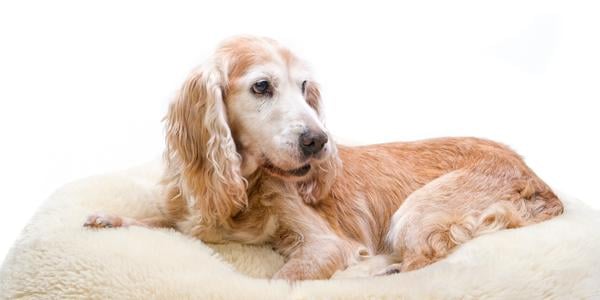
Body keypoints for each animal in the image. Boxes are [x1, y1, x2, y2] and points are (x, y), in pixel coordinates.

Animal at [84, 36, 564, 280]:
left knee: (423, 258)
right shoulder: (195, 221)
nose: (319, 141)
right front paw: (111, 219)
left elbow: (283, 279)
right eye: (262, 86)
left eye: (304, 88)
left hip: (417, 211)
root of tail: (534, 173)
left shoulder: (324, 243)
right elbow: (160, 222)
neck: (247, 186)